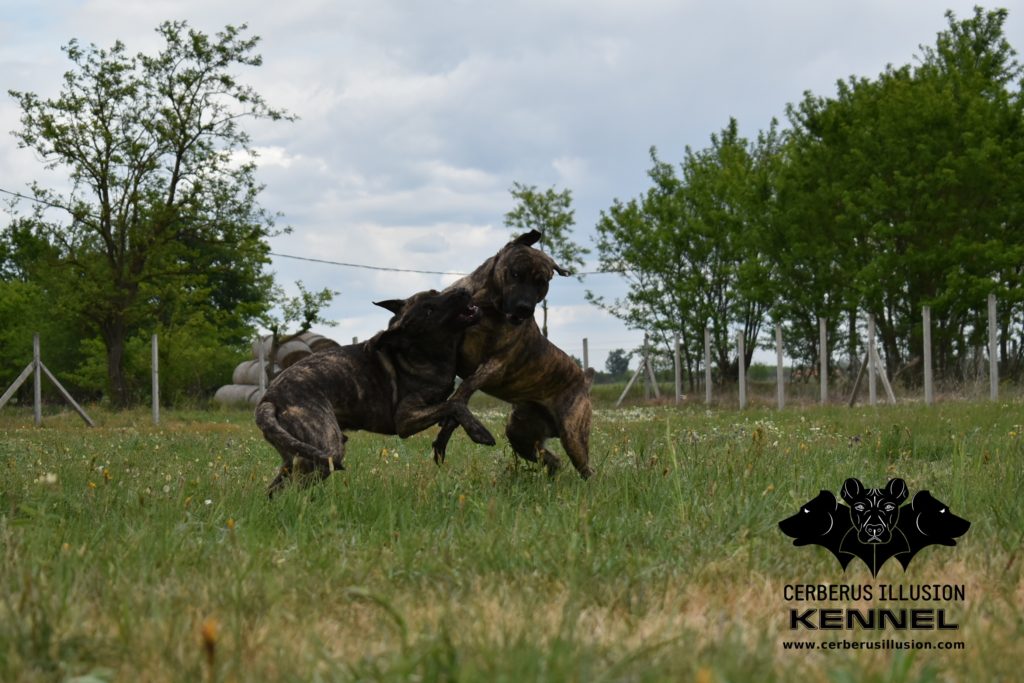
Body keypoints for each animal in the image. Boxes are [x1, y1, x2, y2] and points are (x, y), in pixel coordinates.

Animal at [254, 288, 495, 497]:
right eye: (428, 311)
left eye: (436, 292)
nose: (464, 291)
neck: (421, 351)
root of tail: (268, 400)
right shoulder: (405, 419)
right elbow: (454, 404)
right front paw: (479, 432)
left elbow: (452, 411)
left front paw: (441, 444)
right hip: (325, 452)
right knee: (294, 488)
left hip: (295, 454)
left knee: (275, 488)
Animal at [430, 232, 598, 479]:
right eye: (516, 273)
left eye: (541, 282)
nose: (524, 308)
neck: (486, 306)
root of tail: (584, 380)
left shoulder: (495, 363)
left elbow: (465, 388)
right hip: (520, 433)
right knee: (552, 459)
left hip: (573, 435)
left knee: (585, 468)